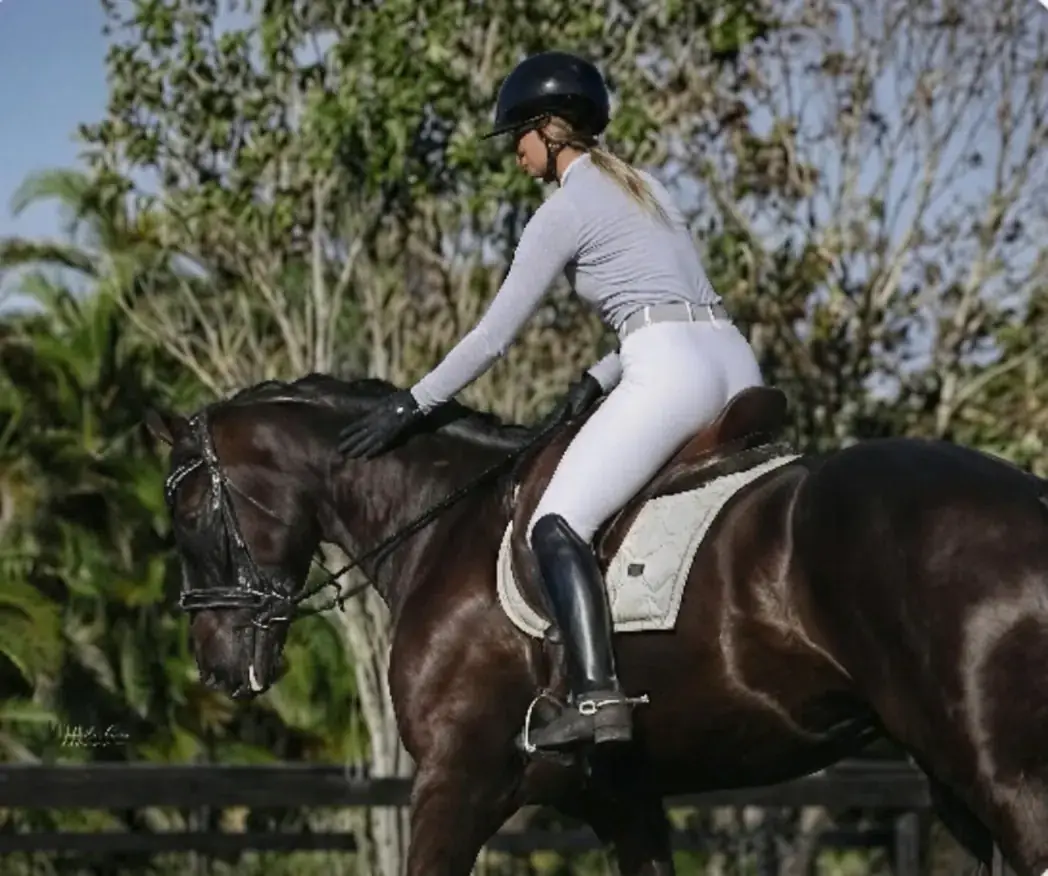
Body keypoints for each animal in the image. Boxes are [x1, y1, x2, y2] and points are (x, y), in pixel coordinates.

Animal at [145, 372, 1048, 876]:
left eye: (186, 514)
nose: (218, 666)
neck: (444, 521)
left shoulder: (456, 778)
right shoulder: (622, 798)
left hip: (1005, 776)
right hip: (949, 778)